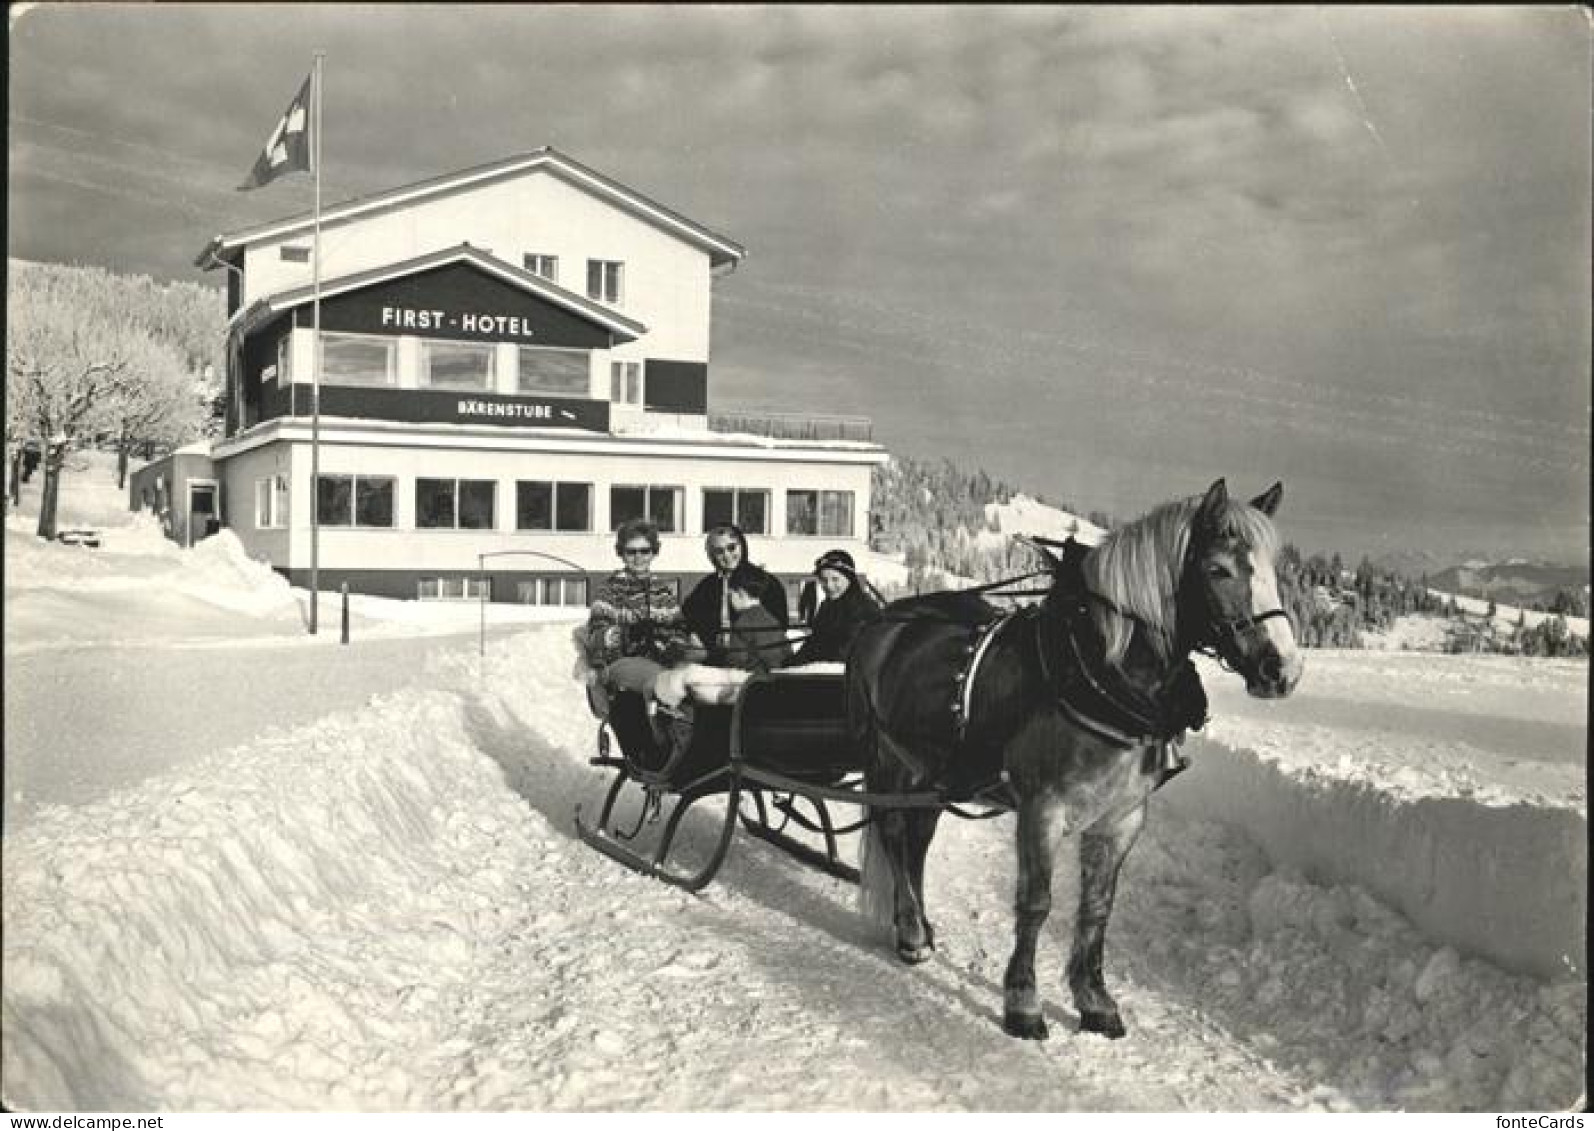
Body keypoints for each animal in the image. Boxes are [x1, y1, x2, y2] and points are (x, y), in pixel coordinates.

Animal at [854, 481, 1300, 1044]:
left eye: (1274, 570)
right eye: (1219, 569)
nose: (1282, 670)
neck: (1100, 676)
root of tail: (888, 619)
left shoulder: (1122, 818)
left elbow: (1097, 907)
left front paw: (1094, 1000)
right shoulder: (1041, 810)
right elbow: (1036, 903)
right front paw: (1023, 1003)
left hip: (930, 773)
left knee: (917, 841)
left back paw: (919, 926)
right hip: (890, 759)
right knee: (894, 834)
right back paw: (911, 933)